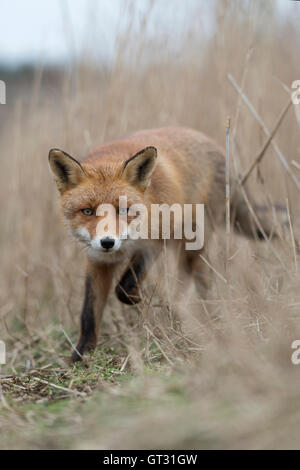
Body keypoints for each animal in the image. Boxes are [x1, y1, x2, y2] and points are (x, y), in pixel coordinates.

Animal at [49, 126, 284, 362]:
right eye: (87, 211)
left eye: (123, 209)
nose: (108, 242)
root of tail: (213, 144)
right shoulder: (97, 260)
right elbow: (89, 312)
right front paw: (81, 355)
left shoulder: (153, 243)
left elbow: (124, 286)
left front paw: (136, 298)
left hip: (191, 244)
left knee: (193, 280)